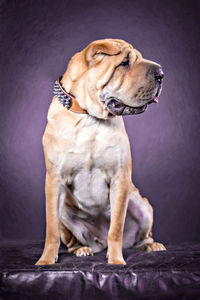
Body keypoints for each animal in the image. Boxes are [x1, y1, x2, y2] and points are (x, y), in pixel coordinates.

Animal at [35, 38, 166, 266]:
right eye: (124, 63)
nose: (161, 73)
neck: (89, 117)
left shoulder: (120, 178)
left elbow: (116, 229)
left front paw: (116, 261)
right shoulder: (54, 181)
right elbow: (51, 230)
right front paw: (45, 261)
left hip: (142, 204)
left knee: (138, 236)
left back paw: (150, 245)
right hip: (66, 214)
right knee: (70, 240)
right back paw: (82, 249)